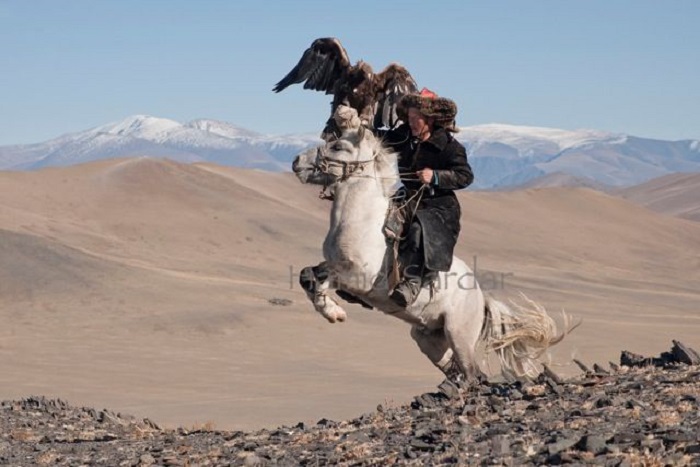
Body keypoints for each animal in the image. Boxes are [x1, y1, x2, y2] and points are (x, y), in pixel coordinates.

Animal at [290, 107, 568, 384]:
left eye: (338, 146)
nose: (296, 162)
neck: (364, 220)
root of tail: (481, 298)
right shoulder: (338, 270)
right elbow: (307, 274)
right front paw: (332, 310)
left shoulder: (358, 277)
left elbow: (319, 275)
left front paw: (333, 312)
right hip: (429, 339)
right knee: (459, 370)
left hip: (459, 335)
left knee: (473, 374)